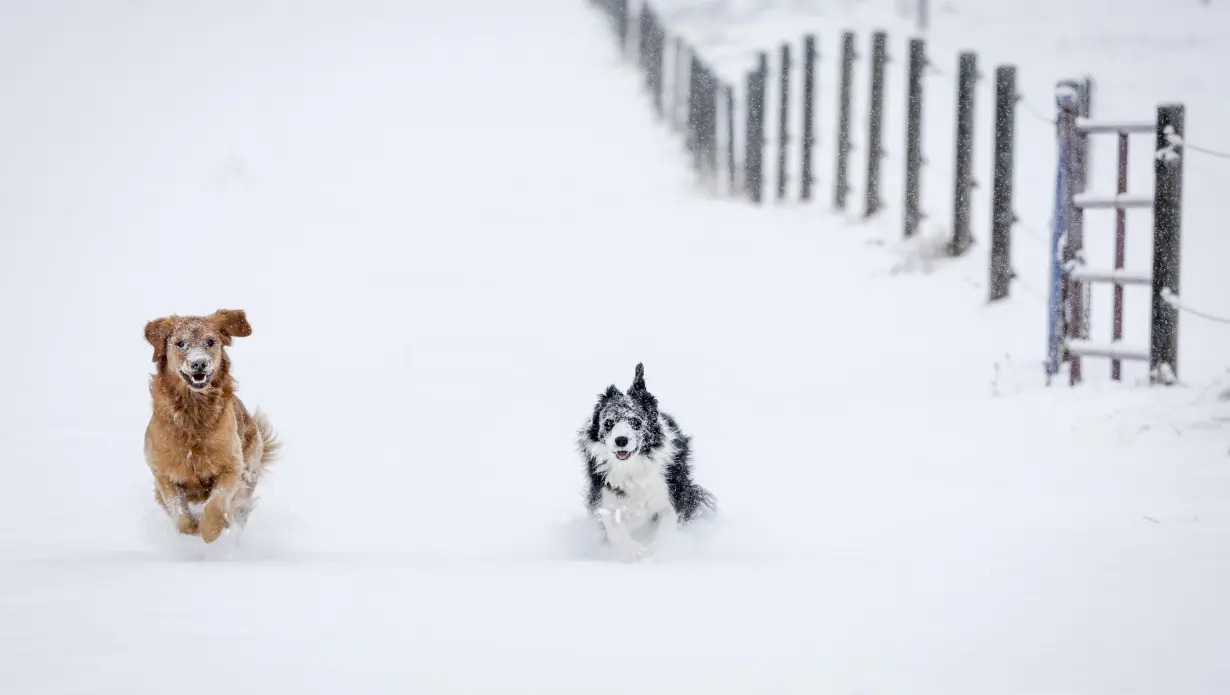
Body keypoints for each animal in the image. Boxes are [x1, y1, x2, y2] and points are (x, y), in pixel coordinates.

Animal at [142, 308, 280, 541]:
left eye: (210, 342)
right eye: (180, 343)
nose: (199, 363)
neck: (192, 413)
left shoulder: (232, 467)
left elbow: (215, 505)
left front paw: (211, 530)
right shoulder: (162, 472)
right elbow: (181, 516)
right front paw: (192, 528)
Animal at [580, 364, 718, 558]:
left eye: (636, 422)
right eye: (608, 423)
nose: (621, 440)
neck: (633, 466)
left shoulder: (671, 493)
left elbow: (666, 527)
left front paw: (654, 553)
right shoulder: (605, 495)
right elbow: (616, 530)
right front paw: (634, 552)